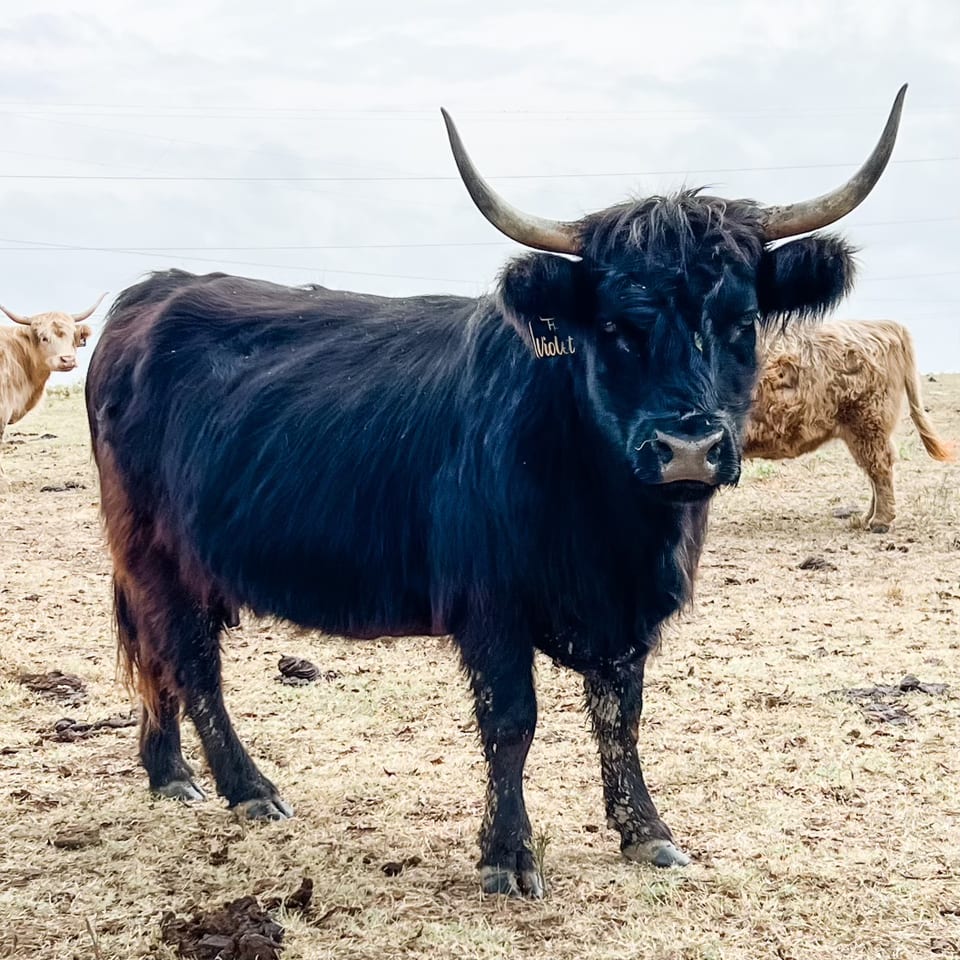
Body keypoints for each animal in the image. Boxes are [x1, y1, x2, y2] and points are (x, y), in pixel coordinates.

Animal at [85, 87, 906, 897]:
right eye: (616, 326)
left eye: (742, 321)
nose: (688, 451)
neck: (615, 530)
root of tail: (151, 293)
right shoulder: (492, 604)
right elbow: (512, 723)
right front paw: (508, 854)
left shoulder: (627, 614)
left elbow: (621, 716)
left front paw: (646, 832)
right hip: (157, 553)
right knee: (191, 661)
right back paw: (245, 787)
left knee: (157, 656)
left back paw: (168, 773)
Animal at [743, 319, 953, 532]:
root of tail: (884, 325)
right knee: (874, 470)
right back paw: (865, 519)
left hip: (868, 424)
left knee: (880, 467)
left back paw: (879, 521)